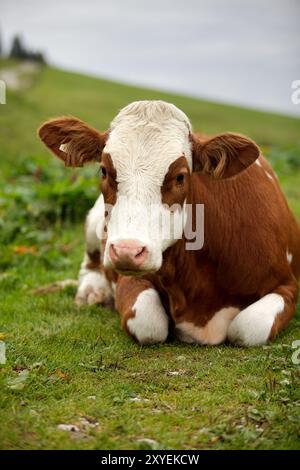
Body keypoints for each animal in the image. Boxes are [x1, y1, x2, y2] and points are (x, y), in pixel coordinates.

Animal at [38, 101, 300, 346]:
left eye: (180, 176)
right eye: (104, 171)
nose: (127, 251)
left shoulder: (287, 285)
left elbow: (247, 327)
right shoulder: (131, 277)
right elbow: (148, 323)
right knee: (90, 264)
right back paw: (93, 291)